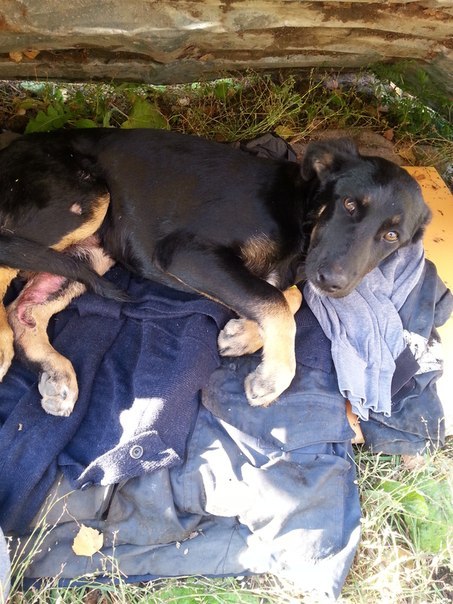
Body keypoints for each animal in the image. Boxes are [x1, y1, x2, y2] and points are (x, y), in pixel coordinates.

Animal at [0, 131, 431, 416]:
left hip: (92, 252)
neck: (301, 211)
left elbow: (285, 296)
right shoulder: (188, 254)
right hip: (85, 200)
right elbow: (276, 300)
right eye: (349, 204)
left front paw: (244, 334)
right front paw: (274, 375)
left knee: (25, 309)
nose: (334, 284)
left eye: (392, 236)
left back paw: (54, 371)